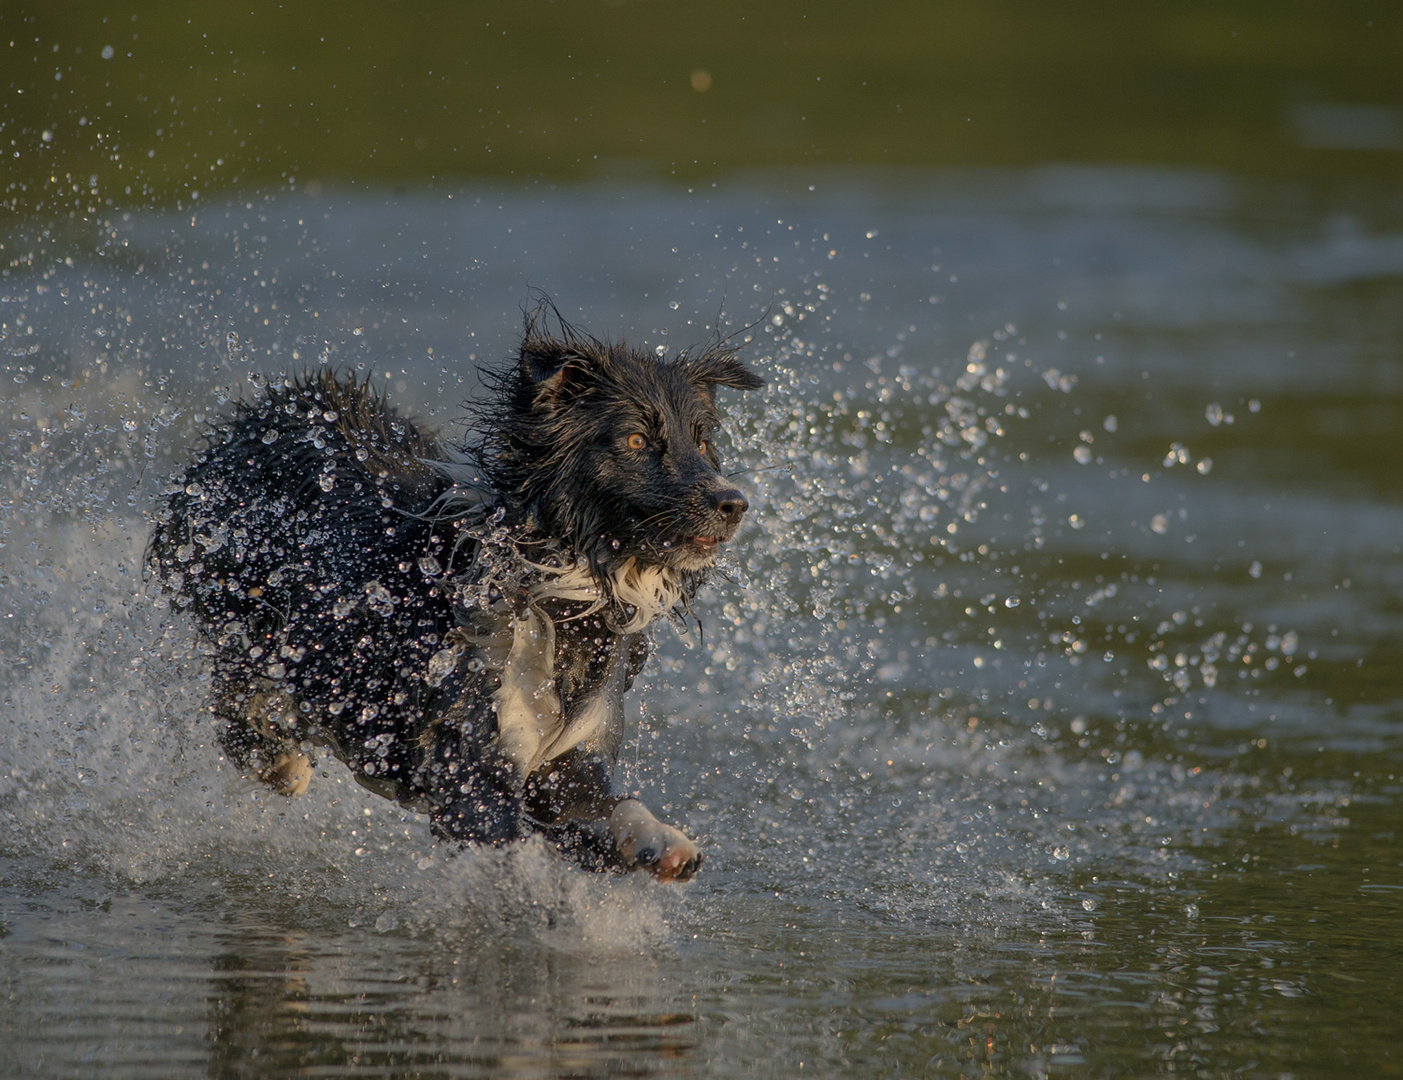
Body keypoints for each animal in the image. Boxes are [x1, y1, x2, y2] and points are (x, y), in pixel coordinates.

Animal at [149, 307, 763, 880]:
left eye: (702, 439)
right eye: (636, 439)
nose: (734, 504)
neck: (562, 592)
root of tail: (271, 408)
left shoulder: (570, 756)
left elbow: (607, 803)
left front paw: (664, 842)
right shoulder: (468, 758)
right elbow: (510, 832)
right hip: (242, 614)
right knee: (239, 696)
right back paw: (280, 759)